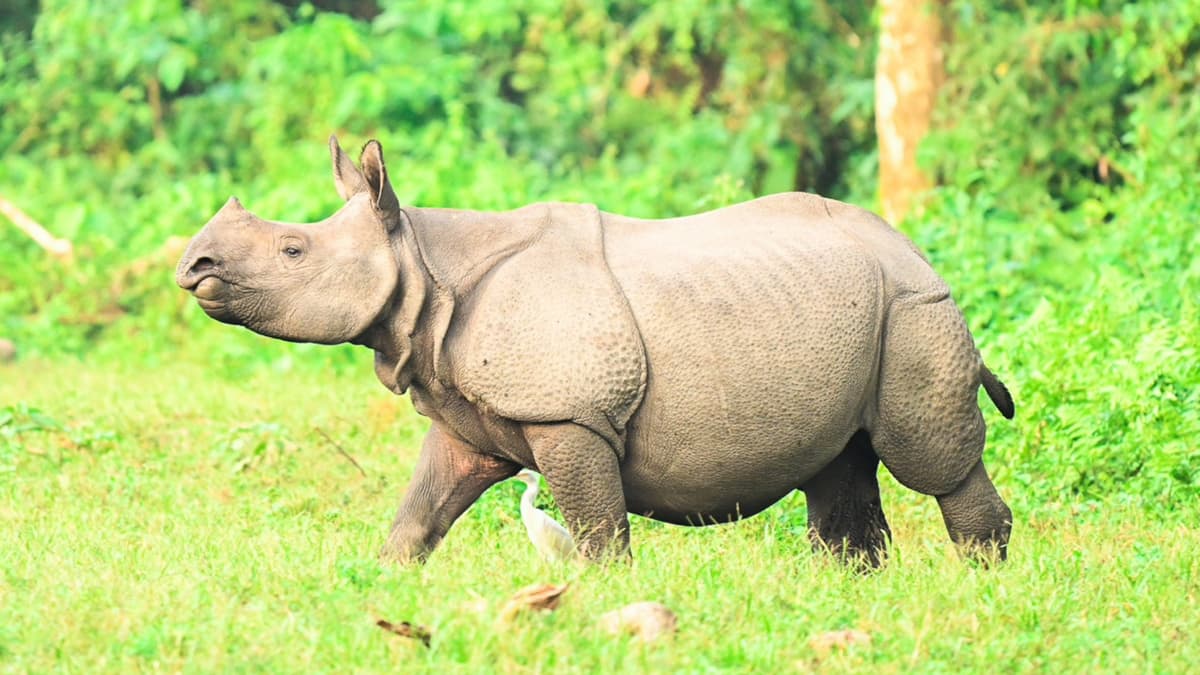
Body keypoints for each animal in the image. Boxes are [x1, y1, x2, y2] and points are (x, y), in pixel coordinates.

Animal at [175, 136, 1012, 562]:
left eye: (292, 250)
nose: (193, 265)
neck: (422, 262)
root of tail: (917, 253)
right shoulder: (465, 419)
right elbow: (418, 515)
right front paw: (387, 588)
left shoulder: (570, 416)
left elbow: (600, 533)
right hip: (855, 313)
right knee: (840, 472)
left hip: (915, 310)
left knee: (929, 461)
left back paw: (978, 580)